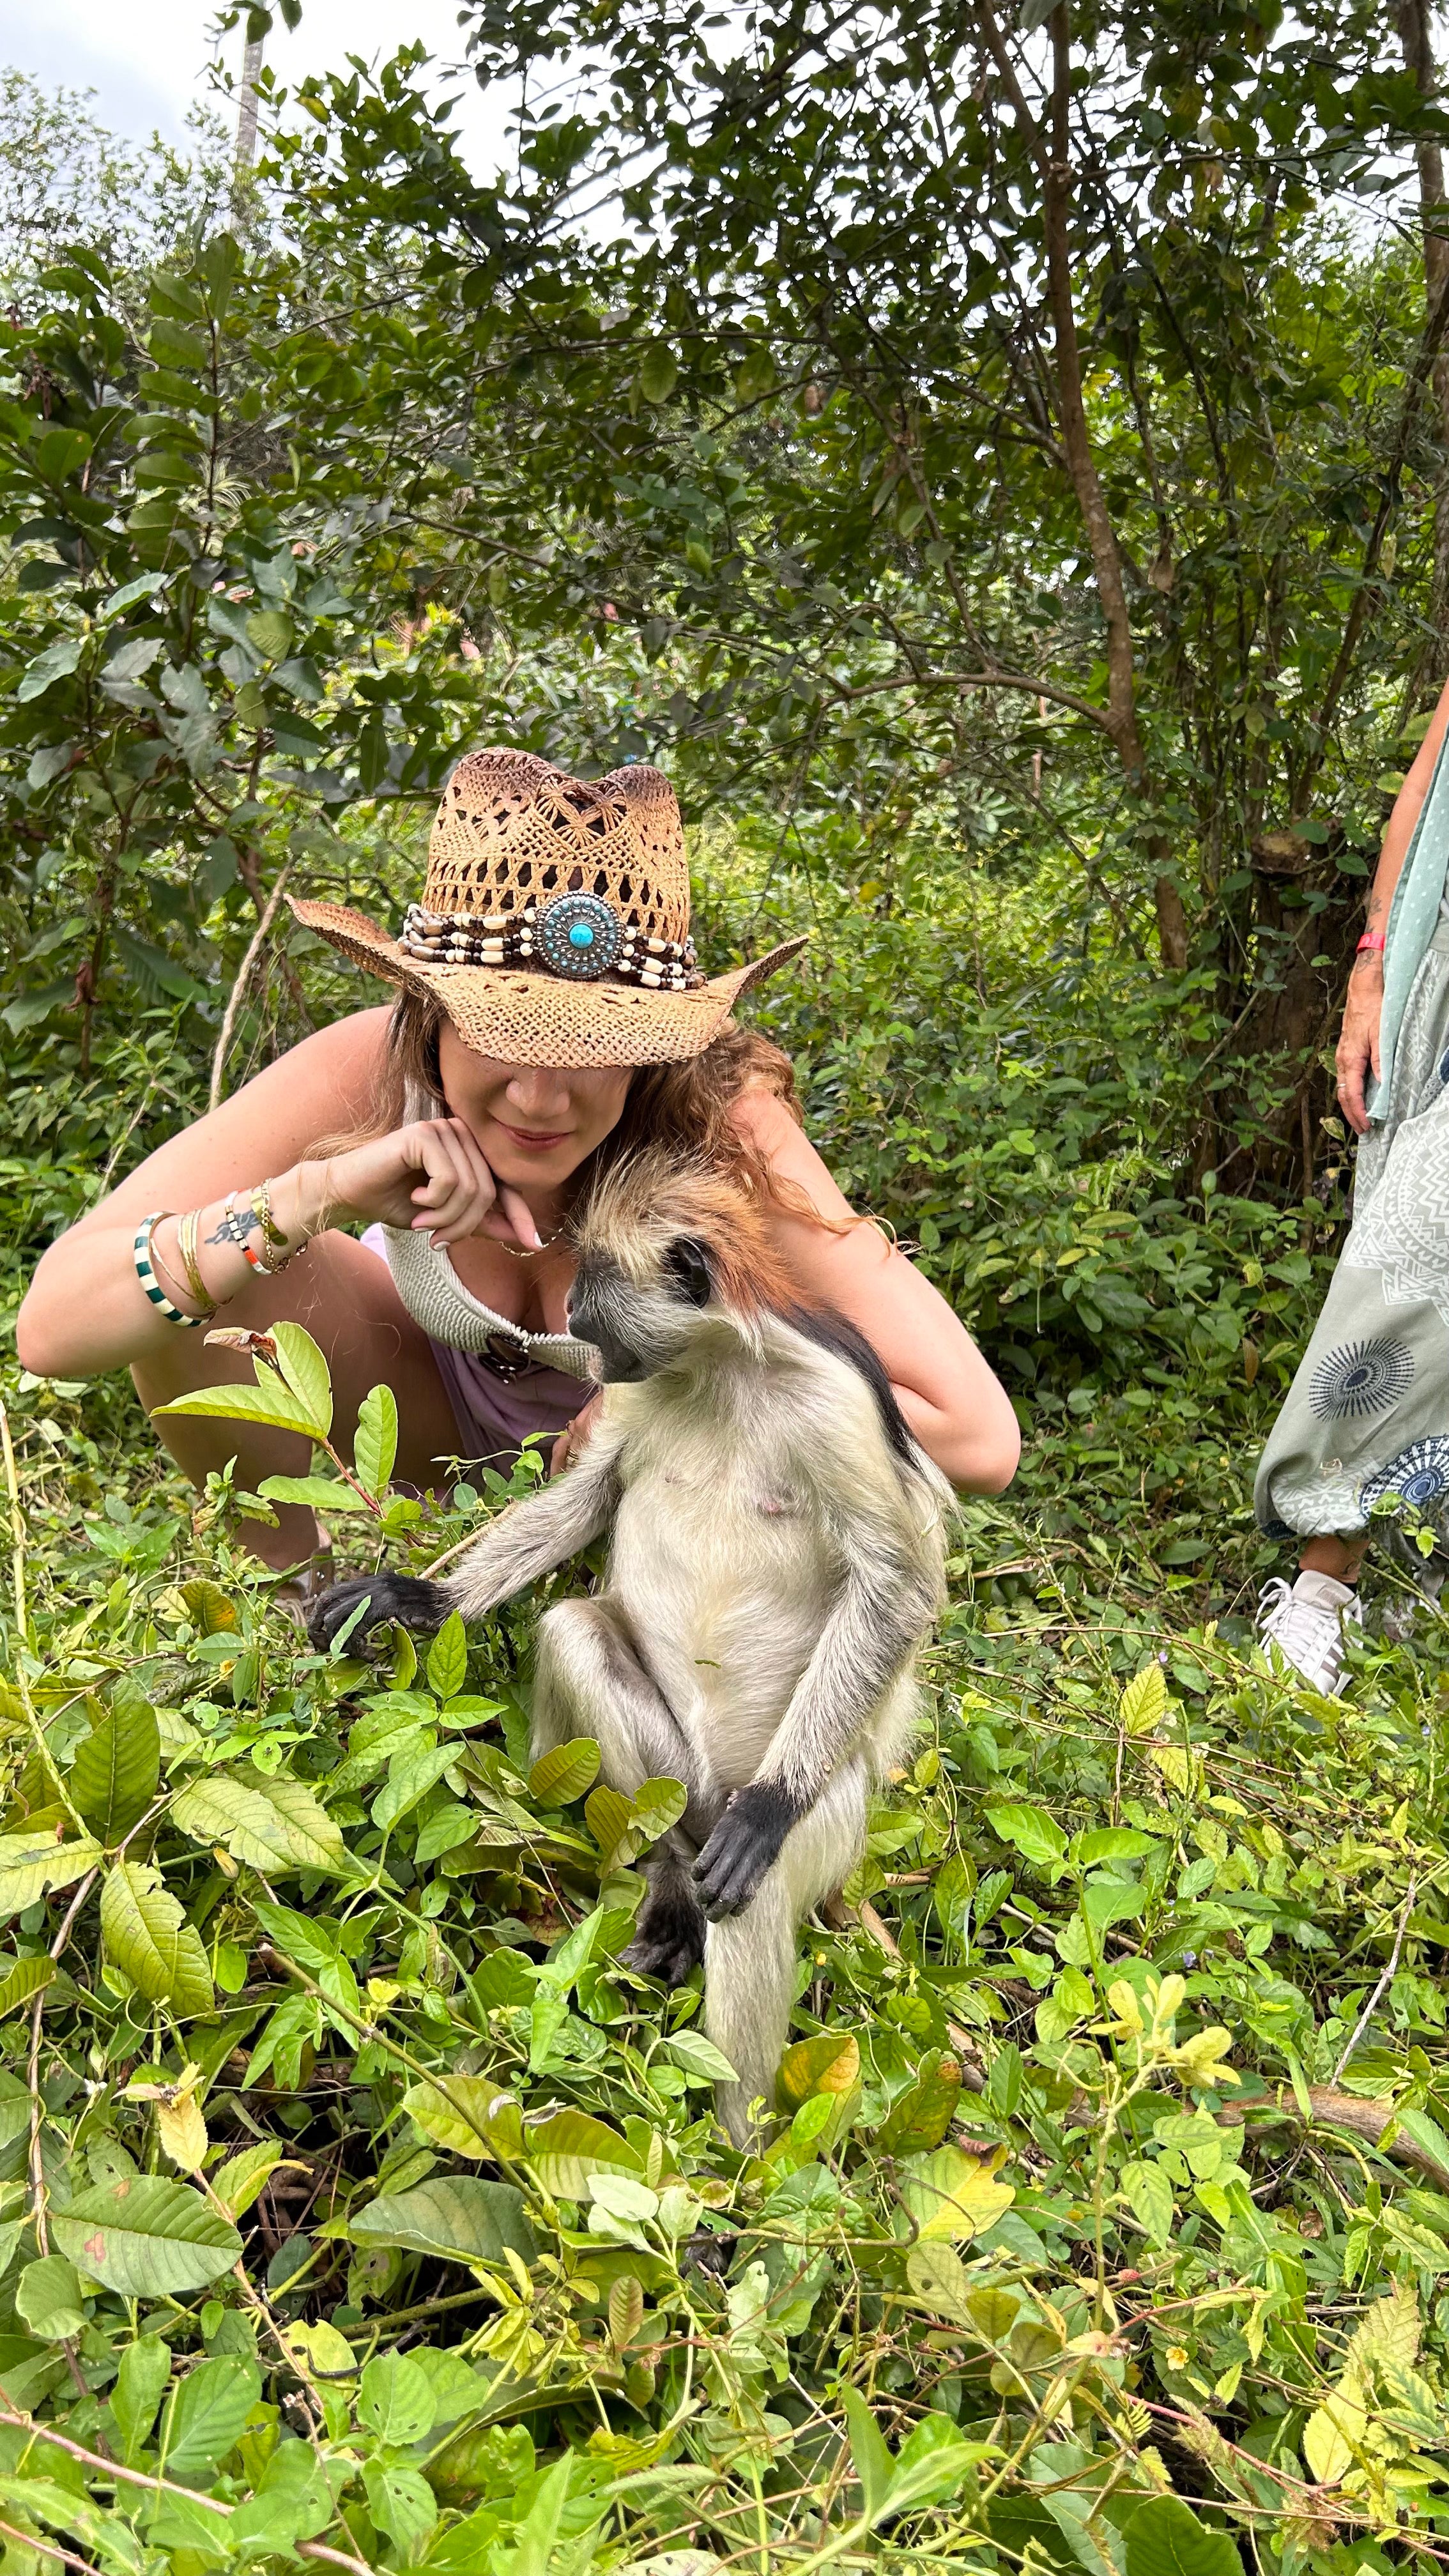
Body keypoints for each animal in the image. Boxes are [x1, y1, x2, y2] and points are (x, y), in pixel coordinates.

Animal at [307, 1159, 949, 2143]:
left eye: (592, 1291)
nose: (570, 1314)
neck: (718, 1370)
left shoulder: (835, 1395)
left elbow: (897, 1586)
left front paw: (771, 1807)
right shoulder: (637, 1389)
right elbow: (594, 1494)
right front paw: (423, 1599)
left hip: (827, 1816)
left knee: (756, 1889)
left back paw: (737, 2162)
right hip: (674, 1786)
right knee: (578, 1637)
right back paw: (673, 1883)